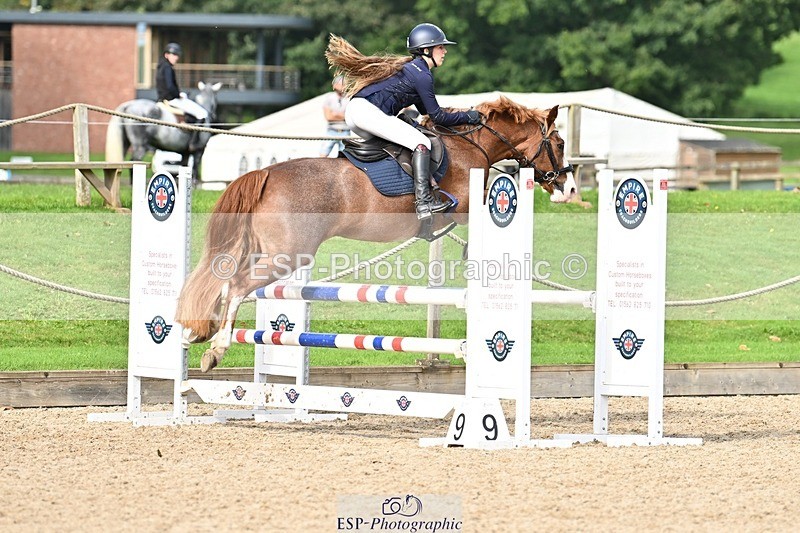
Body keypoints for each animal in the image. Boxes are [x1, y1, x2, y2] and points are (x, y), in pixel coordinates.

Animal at [175, 96, 577, 372]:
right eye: (559, 145)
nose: (569, 188)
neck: (469, 146)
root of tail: (266, 173)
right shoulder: (463, 206)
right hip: (285, 255)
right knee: (236, 286)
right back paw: (215, 349)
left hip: (265, 250)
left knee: (222, 280)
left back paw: (196, 331)